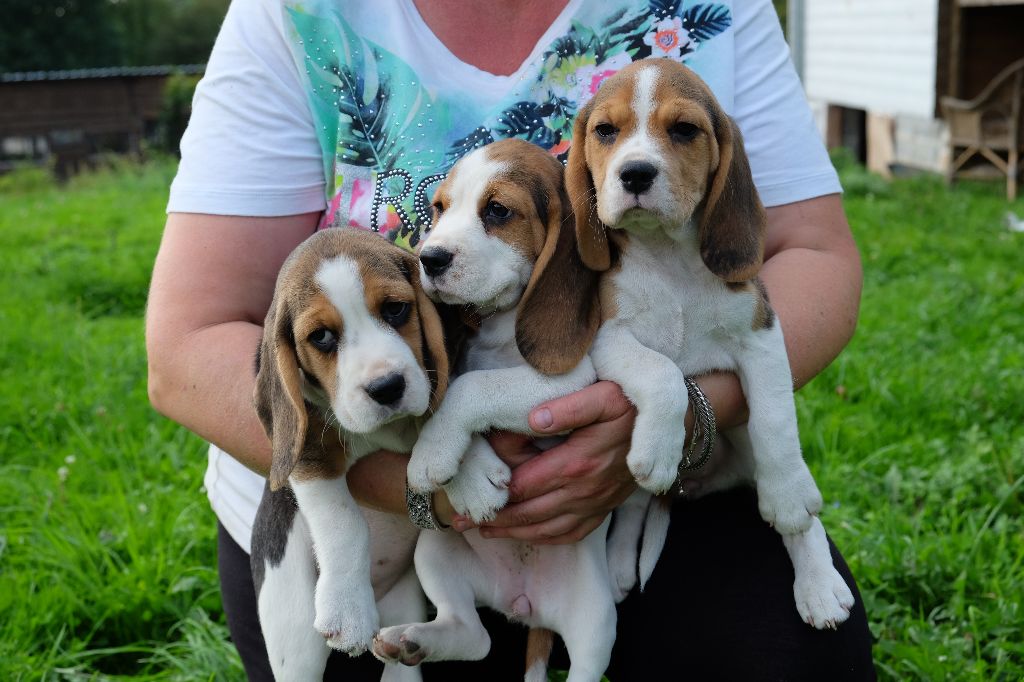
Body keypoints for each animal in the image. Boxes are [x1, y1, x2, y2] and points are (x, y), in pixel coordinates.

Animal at [247, 228, 452, 679]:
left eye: (395, 309)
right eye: (321, 337)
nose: (387, 387)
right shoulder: (310, 452)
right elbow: (345, 523)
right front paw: (347, 610)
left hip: (402, 607)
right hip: (293, 635)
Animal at [374, 138, 618, 679]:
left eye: (498, 211)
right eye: (439, 209)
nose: (428, 258)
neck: (501, 323)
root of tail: (525, 605)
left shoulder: (569, 381)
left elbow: (472, 388)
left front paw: (432, 455)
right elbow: (444, 392)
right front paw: (469, 474)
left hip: (596, 622)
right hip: (435, 550)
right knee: (474, 637)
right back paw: (411, 640)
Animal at [569, 57, 856, 626]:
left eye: (684, 130)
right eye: (605, 131)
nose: (635, 173)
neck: (669, 261)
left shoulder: (762, 335)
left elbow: (774, 421)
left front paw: (788, 498)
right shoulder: (608, 337)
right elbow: (663, 374)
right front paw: (657, 448)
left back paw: (818, 581)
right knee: (635, 503)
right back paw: (620, 563)